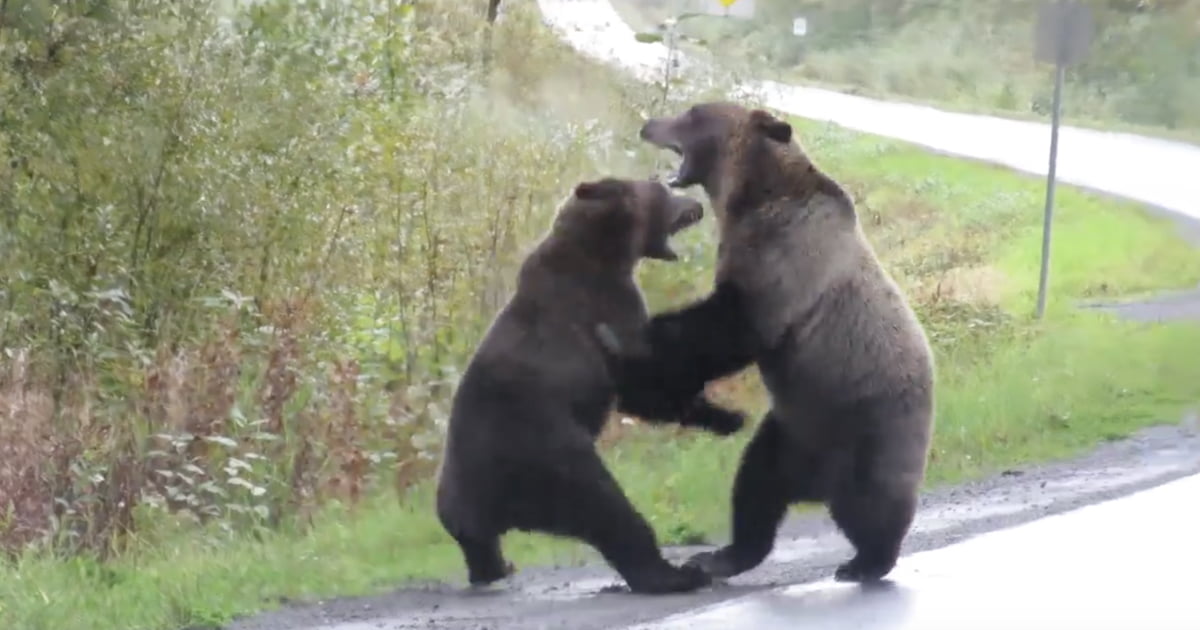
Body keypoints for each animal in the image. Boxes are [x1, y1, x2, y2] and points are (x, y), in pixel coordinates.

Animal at [436, 175, 744, 595]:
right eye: (661, 189)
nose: (694, 203)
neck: (604, 252)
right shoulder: (609, 305)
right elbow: (640, 385)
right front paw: (728, 417)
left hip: (466, 492)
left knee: (477, 541)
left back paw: (497, 567)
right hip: (549, 456)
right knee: (608, 509)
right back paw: (676, 574)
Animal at [614, 100, 940, 583]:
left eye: (692, 114)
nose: (649, 123)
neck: (749, 196)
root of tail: (814, 483)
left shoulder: (783, 258)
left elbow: (731, 325)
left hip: (869, 423)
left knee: (871, 500)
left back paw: (866, 561)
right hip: (790, 429)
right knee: (756, 485)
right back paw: (722, 555)